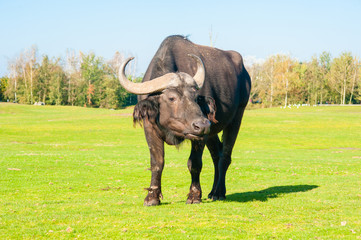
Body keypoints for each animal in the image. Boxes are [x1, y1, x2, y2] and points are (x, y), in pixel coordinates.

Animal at [118, 35, 250, 206]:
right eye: (171, 98)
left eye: (196, 97)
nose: (202, 125)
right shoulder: (150, 127)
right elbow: (157, 163)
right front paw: (152, 197)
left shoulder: (200, 136)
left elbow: (194, 163)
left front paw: (194, 196)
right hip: (212, 131)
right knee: (217, 154)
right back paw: (212, 192)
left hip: (236, 116)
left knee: (225, 156)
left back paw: (219, 192)